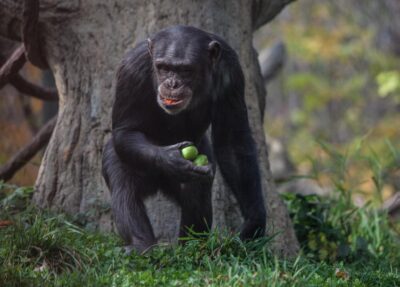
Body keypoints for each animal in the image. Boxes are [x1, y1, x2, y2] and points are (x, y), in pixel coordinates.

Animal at [102, 25, 266, 254]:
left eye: (185, 70)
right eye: (163, 68)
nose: (172, 83)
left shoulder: (231, 70)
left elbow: (232, 140)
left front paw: (254, 221)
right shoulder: (131, 70)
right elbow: (126, 130)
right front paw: (169, 158)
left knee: (196, 187)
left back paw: (191, 246)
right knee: (124, 185)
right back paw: (141, 244)